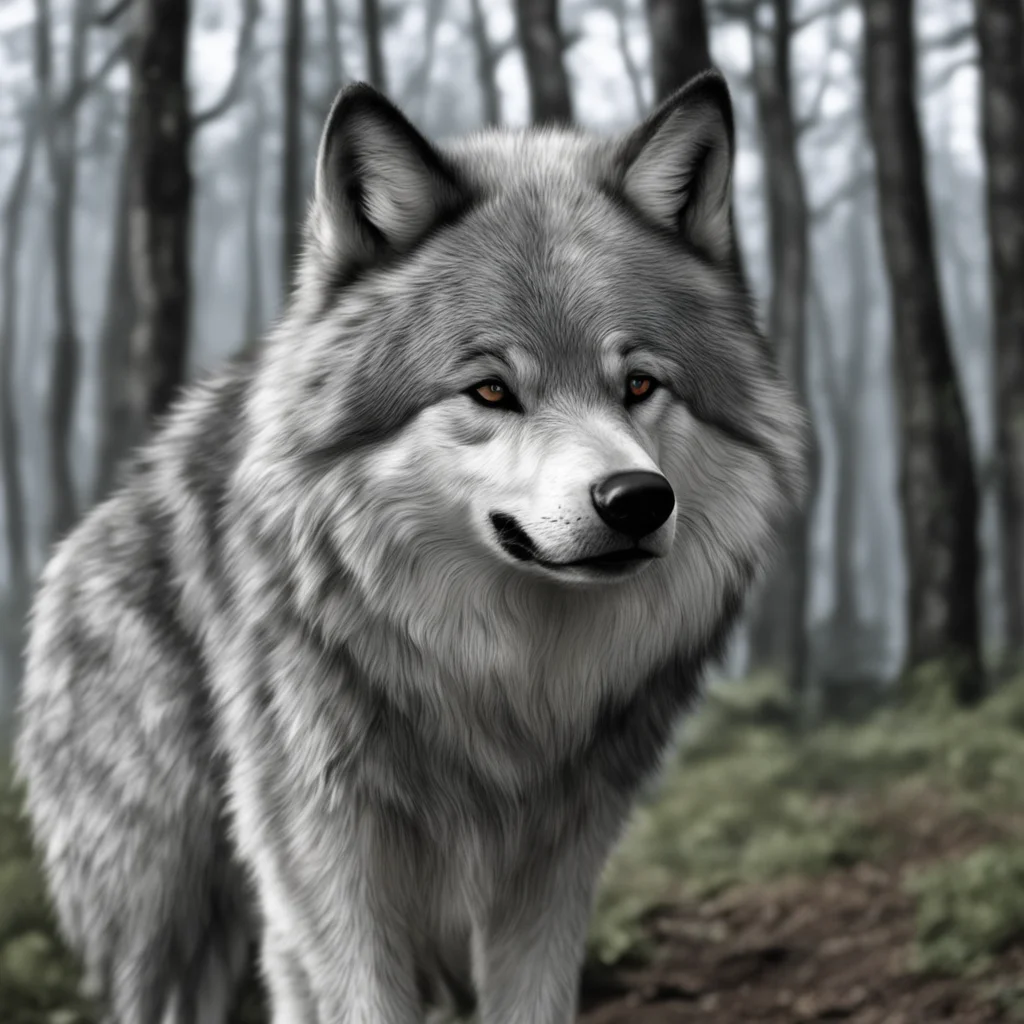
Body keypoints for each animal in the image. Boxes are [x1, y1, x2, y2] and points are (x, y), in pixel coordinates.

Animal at [15, 70, 804, 1024]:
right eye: (491, 389)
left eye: (641, 383)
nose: (637, 500)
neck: (501, 692)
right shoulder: (329, 873)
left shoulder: (554, 870)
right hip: (178, 921)